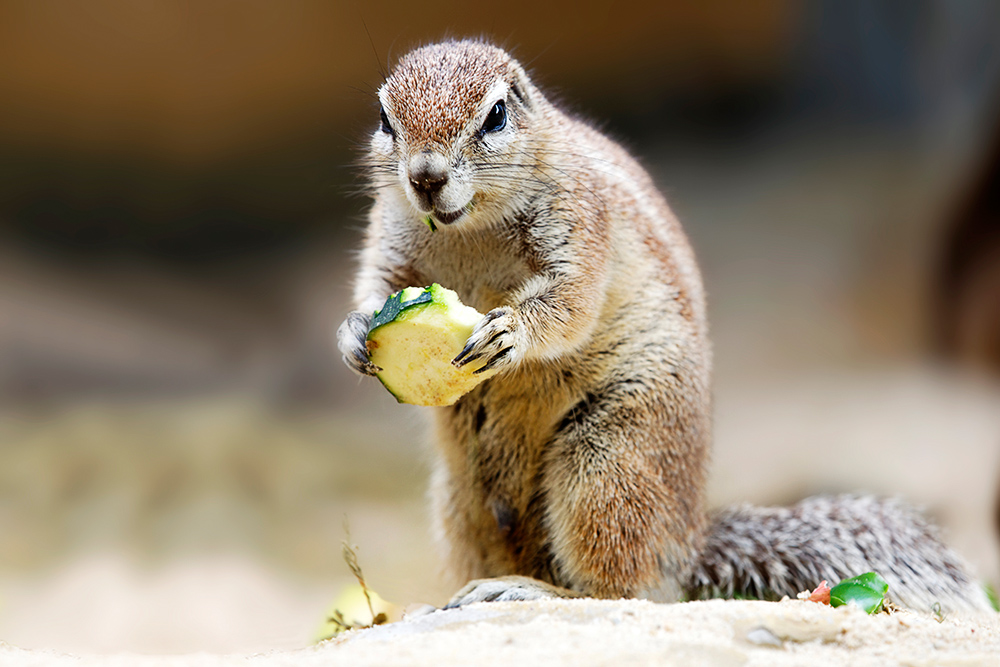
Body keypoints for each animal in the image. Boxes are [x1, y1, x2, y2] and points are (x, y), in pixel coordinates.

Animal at [336, 37, 992, 616]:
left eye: (495, 115)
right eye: (384, 118)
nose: (424, 178)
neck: (469, 232)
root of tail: (688, 545)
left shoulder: (581, 224)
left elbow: (570, 304)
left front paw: (510, 333)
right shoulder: (391, 239)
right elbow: (373, 283)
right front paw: (354, 334)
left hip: (608, 463)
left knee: (623, 589)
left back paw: (530, 590)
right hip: (459, 499)